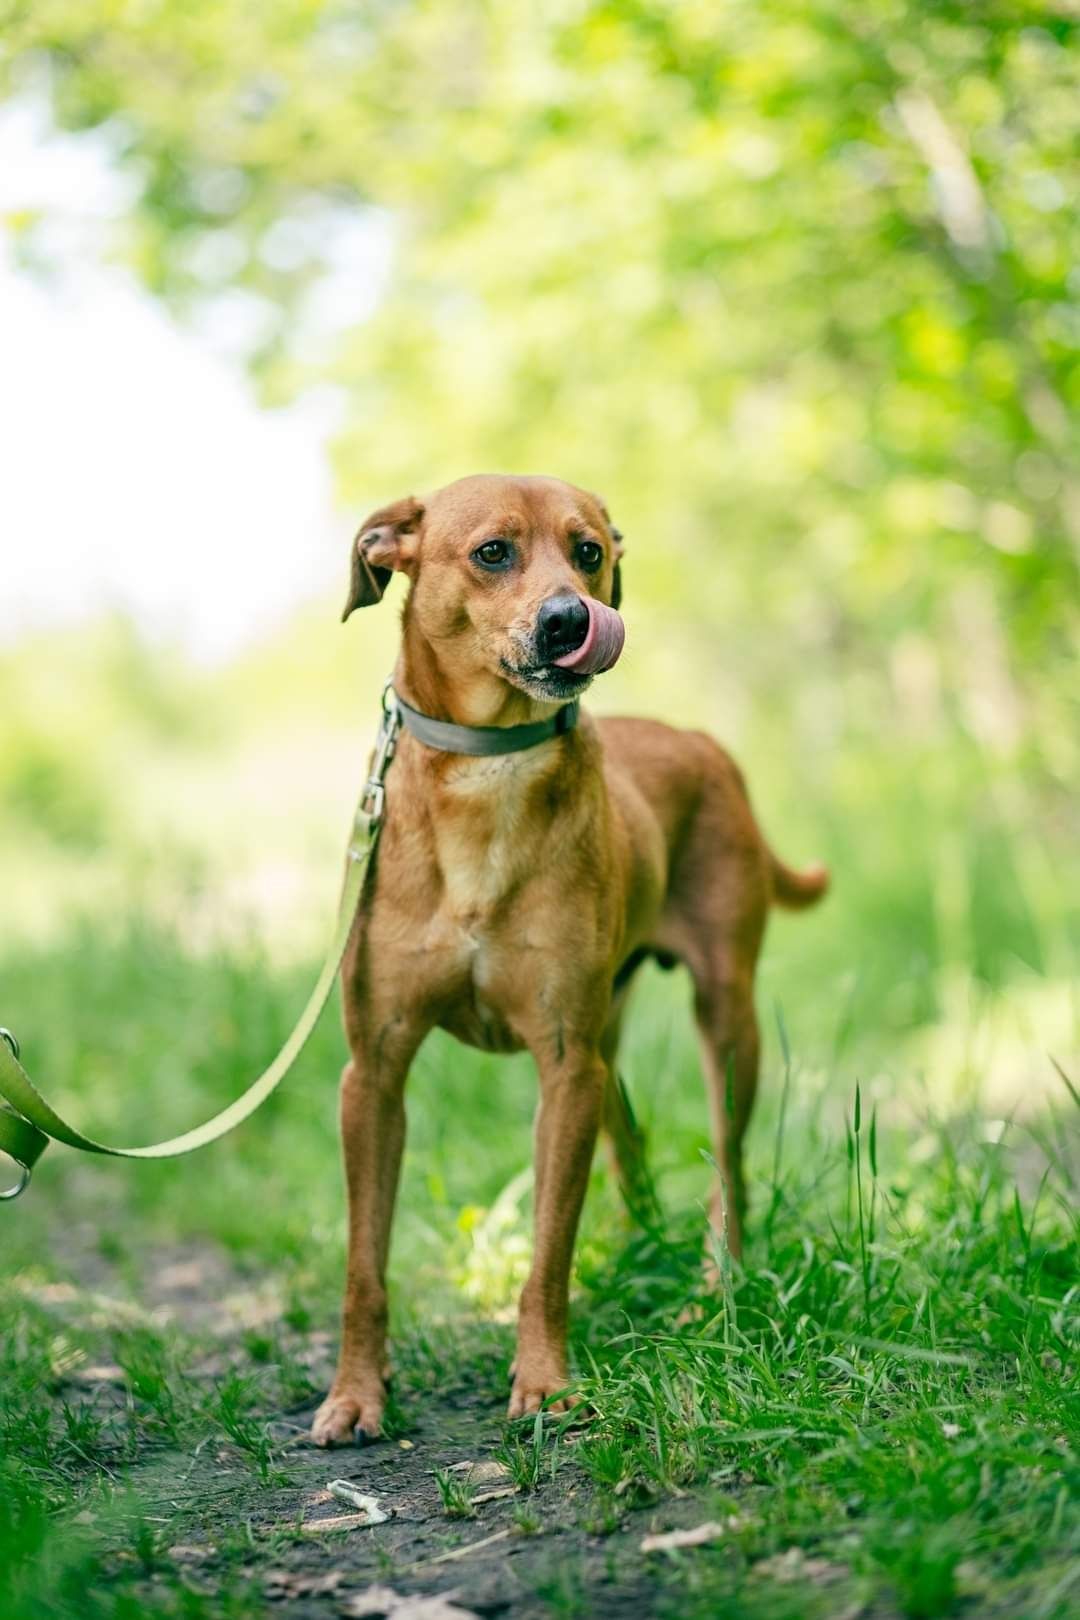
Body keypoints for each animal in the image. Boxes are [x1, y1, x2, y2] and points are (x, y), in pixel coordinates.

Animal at [312, 469, 829, 1445]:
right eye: (492, 552)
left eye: (588, 551)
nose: (569, 617)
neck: (488, 776)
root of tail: (703, 742)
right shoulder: (375, 1074)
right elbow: (364, 1263)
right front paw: (356, 1394)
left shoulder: (563, 1067)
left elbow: (548, 1254)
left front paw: (546, 1384)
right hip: (608, 1049)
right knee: (633, 1143)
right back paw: (645, 1246)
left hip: (721, 1021)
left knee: (728, 1167)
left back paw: (715, 1285)